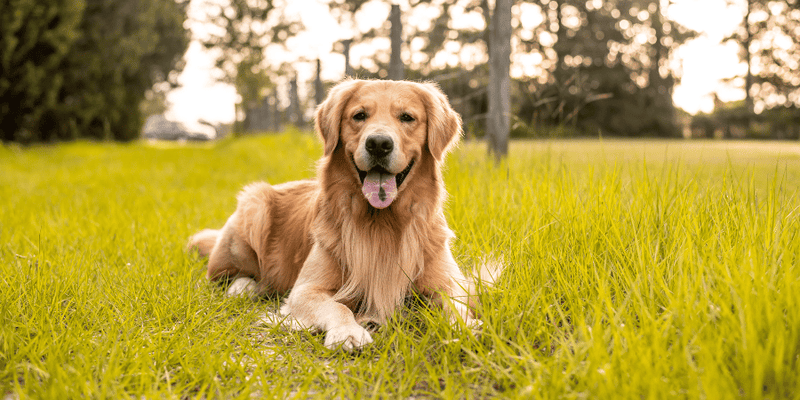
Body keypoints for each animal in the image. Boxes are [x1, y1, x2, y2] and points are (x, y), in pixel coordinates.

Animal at [189, 79, 482, 352]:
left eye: (407, 117)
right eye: (359, 115)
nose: (378, 144)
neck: (382, 223)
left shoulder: (449, 284)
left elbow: (457, 306)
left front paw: (466, 327)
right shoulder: (305, 290)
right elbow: (338, 307)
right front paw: (348, 332)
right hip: (254, 205)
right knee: (229, 275)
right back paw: (244, 288)